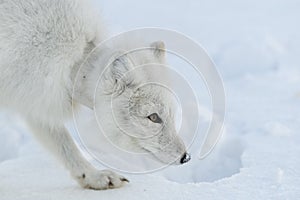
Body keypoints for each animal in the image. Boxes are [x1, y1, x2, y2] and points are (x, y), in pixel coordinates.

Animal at [0, 0, 191, 189]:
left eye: (172, 113)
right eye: (153, 117)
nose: (186, 157)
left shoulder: (35, 97)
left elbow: (65, 144)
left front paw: (94, 177)